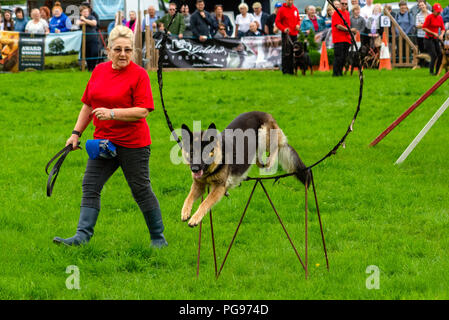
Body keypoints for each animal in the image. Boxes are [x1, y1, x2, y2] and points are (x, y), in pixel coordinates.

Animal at [179, 111, 308, 226]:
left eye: (205, 152)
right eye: (191, 152)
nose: (194, 169)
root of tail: (266, 114)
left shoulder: (219, 187)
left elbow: (205, 203)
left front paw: (195, 218)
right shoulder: (198, 185)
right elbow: (188, 198)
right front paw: (185, 212)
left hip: (263, 135)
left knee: (276, 147)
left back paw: (267, 161)